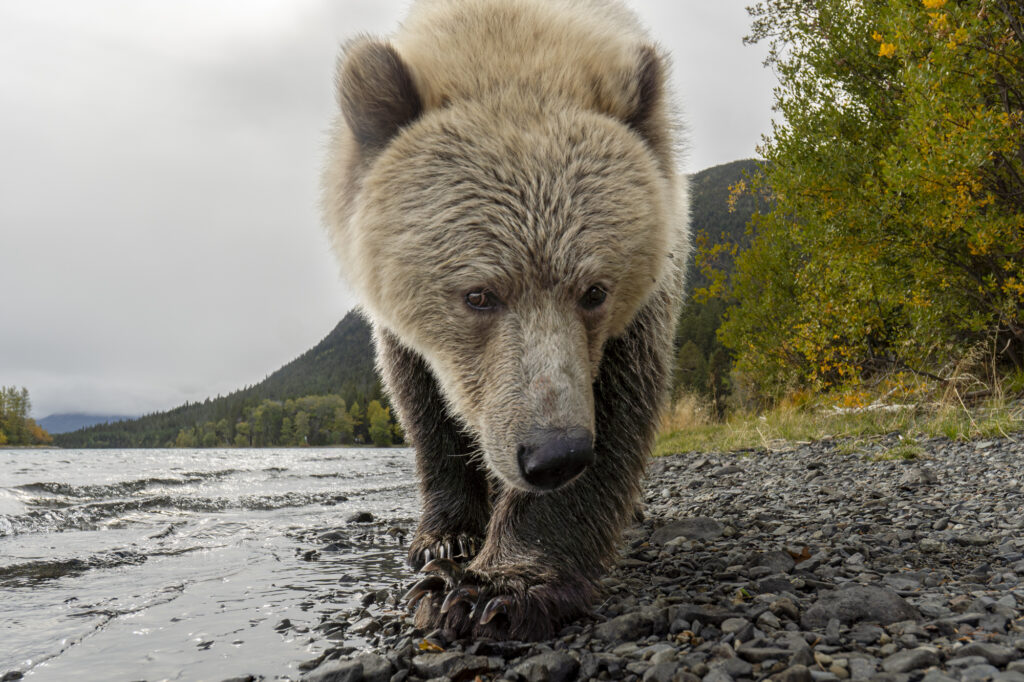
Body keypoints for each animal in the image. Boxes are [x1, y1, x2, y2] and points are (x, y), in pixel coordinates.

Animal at [321, 0, 689, 640]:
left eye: (595, 290)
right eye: (478, 295)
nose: (554, 454)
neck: (508, 31)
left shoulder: (642, 302)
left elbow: (621, 397)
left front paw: (494, 588)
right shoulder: (403, 330)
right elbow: (421, 402)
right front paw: (446, 542)